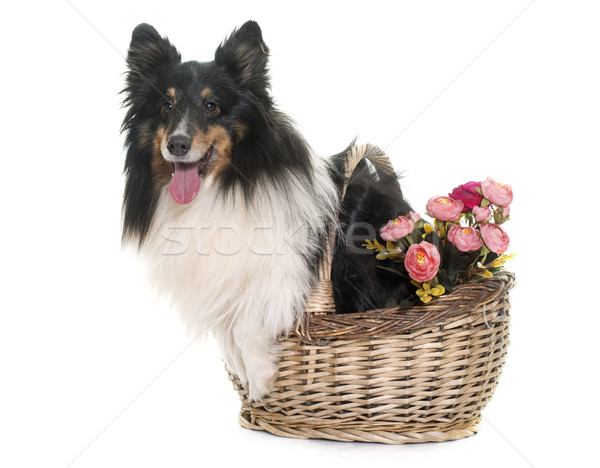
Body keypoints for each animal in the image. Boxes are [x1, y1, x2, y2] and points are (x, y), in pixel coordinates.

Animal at [122, 22, 412, 400]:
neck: (221, 188)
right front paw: (245, 375)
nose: (177, 144)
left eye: (212, 105)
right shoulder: (219, 282)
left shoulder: (281, 273)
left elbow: (247, 323)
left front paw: (261, 381)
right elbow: (227, 331)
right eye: (165, 106)